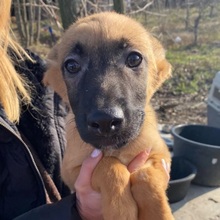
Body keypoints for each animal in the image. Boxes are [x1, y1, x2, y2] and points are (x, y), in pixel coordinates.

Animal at [44, 12, 174, 220]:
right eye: (71, 66)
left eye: (134, 59)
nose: (105, 121)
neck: (117, 149)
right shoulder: (72, 171)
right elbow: (109, 166)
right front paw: (120, 210)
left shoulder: (161, 156)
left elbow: (146, 177)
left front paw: (159, 213)